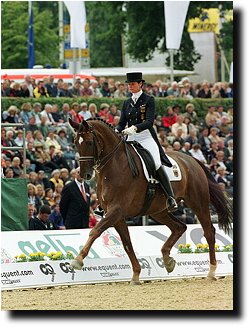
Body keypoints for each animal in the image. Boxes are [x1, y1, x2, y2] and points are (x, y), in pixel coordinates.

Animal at [68, 118, 231, 284]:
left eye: (89, 142)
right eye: (75, 143)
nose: (85, 174)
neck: (114, 166)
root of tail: (192, 160)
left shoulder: (116, 210)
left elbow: (95, 231)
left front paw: (77, 260)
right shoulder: (115, 215)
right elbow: (127, 243)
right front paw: (136, 274)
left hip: (198, 203)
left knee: (209, 232)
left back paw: (211, 271)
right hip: (158, 211)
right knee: (179, 227)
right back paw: (167, 260)